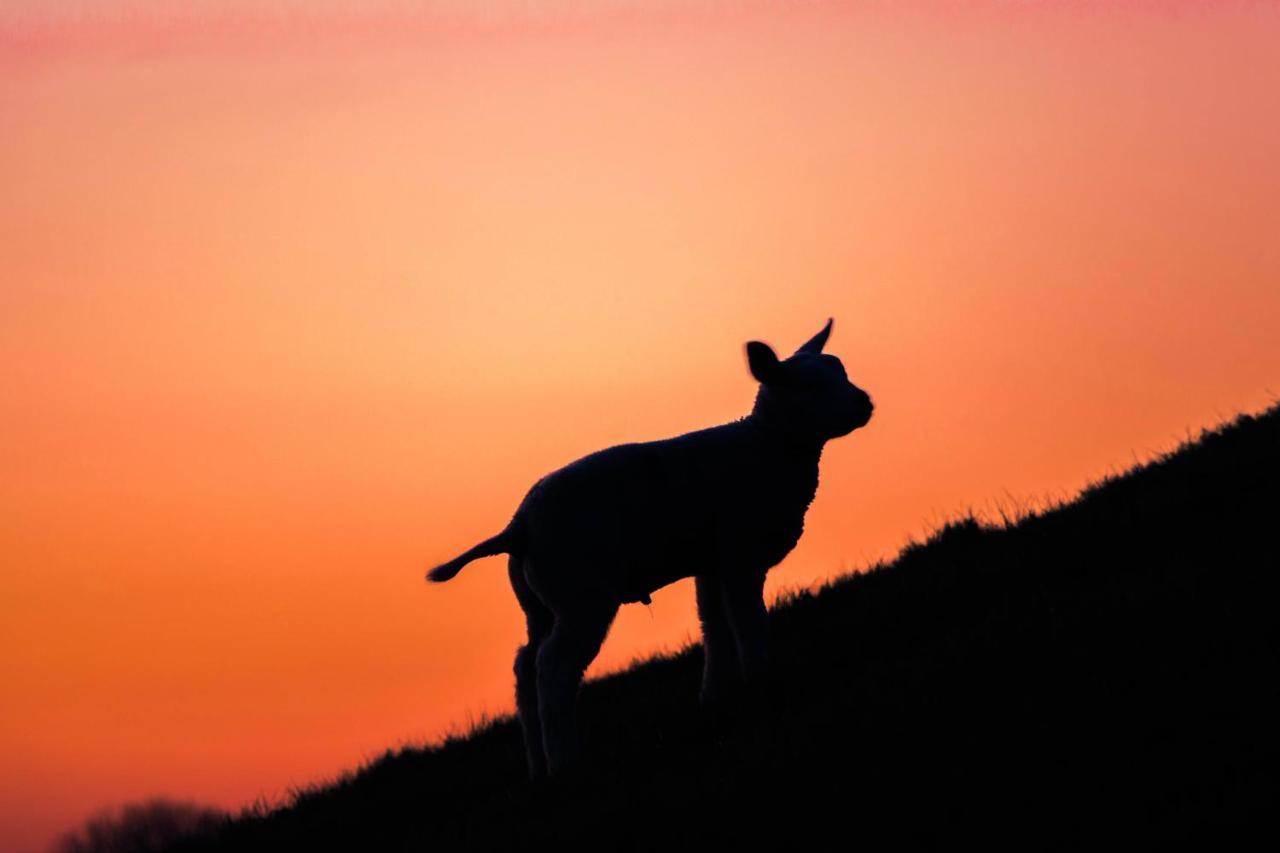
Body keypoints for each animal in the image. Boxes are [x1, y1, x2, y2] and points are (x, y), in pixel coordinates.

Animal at [424, 315, 875, 773]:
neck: (766, 447)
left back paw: (539, 766)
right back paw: (567, 762)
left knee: (525, 666)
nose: (865, 404)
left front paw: (716, 699)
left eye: (841, 371)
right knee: (553, 668)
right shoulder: (739, 553)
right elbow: (749, 624)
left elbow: (714, 628)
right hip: (581, 594)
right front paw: (762, 686)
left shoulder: (711, 563)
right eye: (808, 386)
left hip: (539, 603)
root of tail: (520, 524)